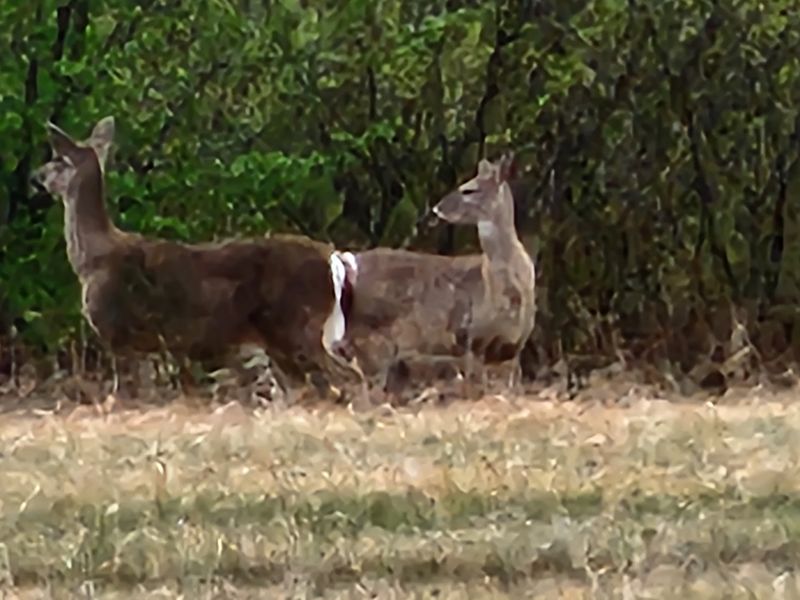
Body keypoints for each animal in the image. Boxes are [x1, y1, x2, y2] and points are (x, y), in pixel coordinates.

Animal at [29, 116, 365, 406]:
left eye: (58, 160)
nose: (36, 176)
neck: (90, 261)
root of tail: (333, 259)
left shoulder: (118, 334)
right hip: (283, 340)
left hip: (298, 325)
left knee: (347, 377)